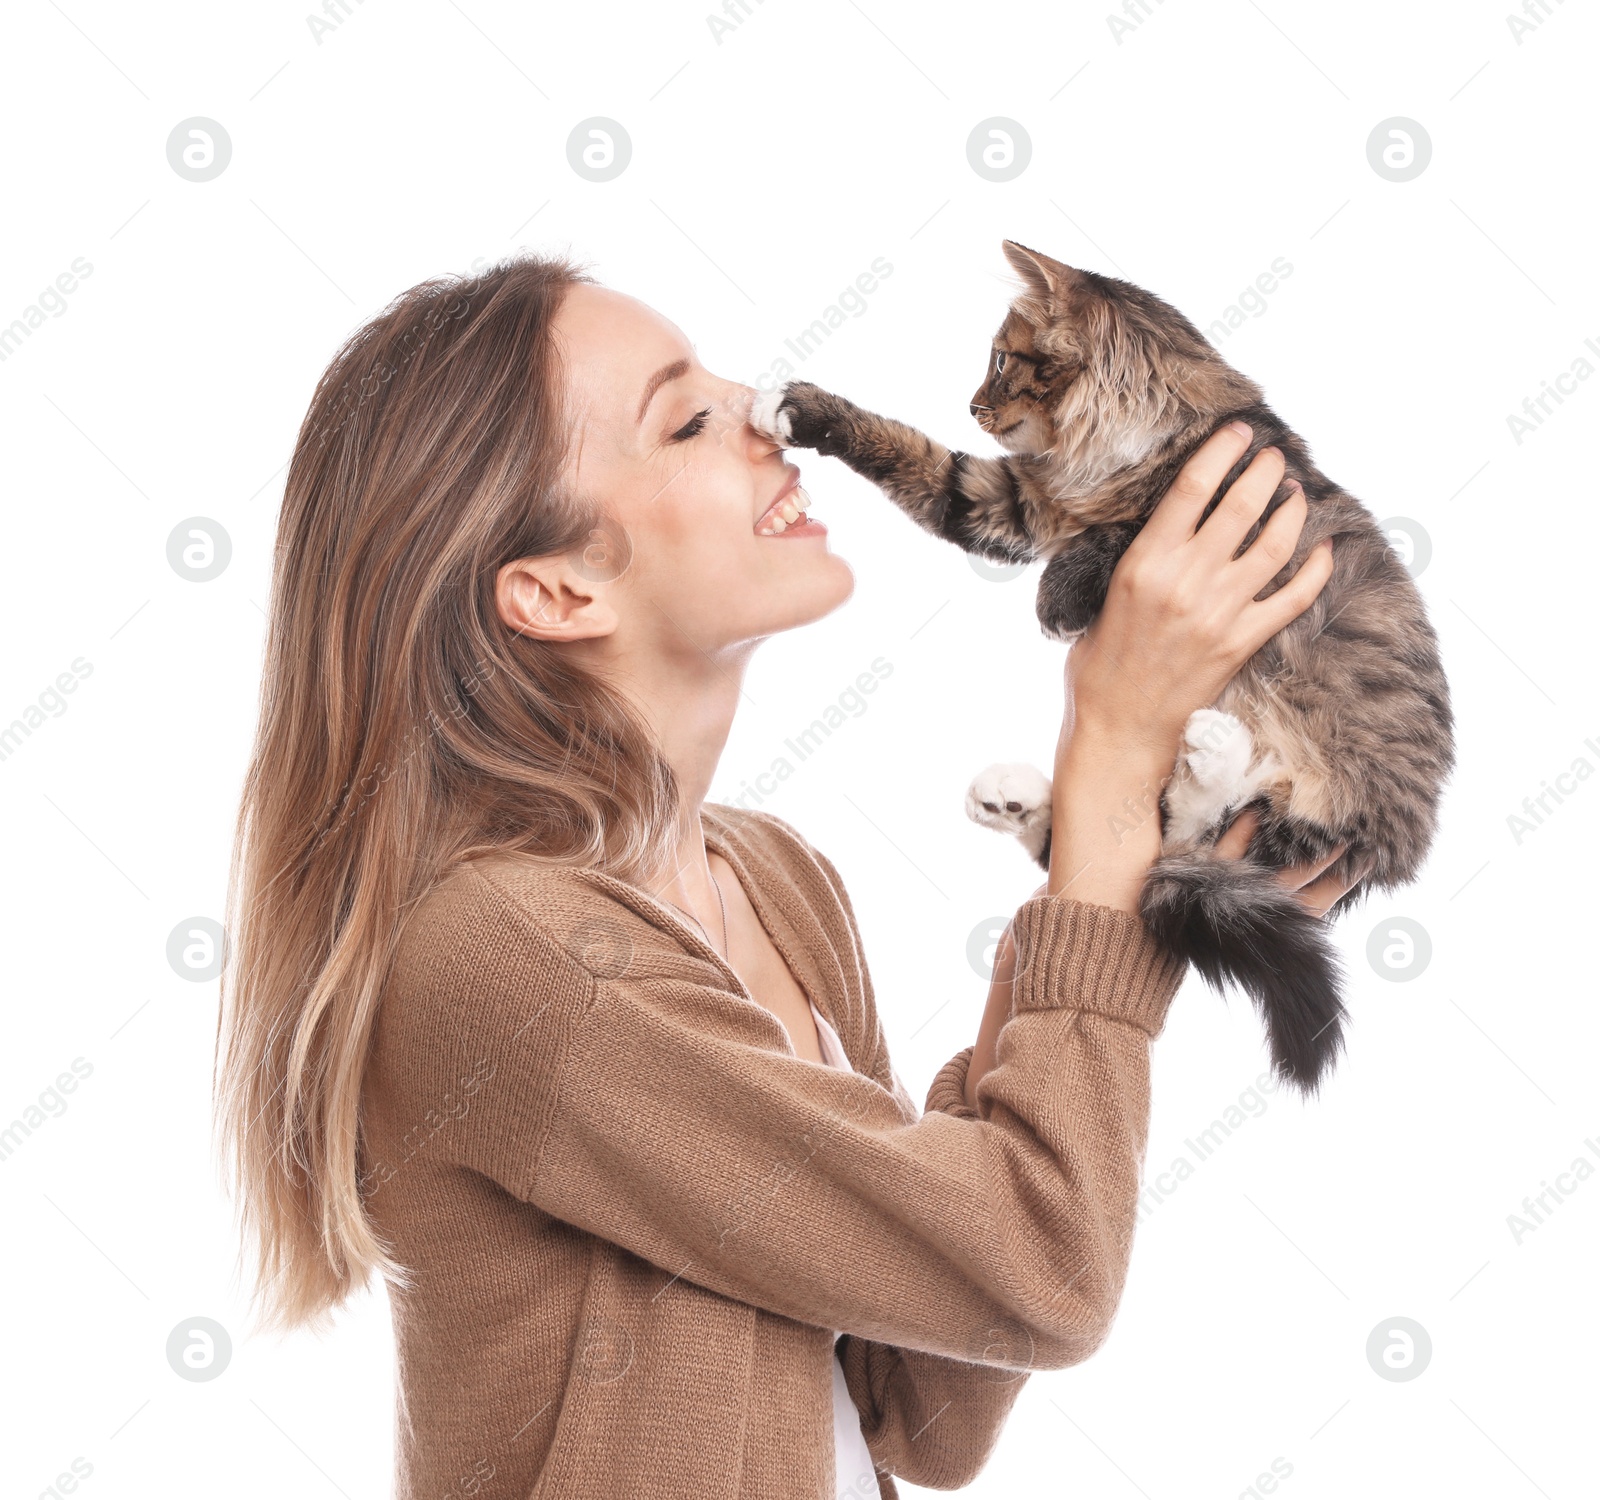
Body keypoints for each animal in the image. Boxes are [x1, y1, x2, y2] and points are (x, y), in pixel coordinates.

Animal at [748, 239, 1452, 1093]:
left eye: (999, 359)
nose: (972, 406)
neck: (1101, 457)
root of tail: (1396, 850)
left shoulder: (1239, 509)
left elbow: (1125, 534)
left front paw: (1060, 596)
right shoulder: (1007, 501)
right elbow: (910, 452)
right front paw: (798, 408)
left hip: (1317, 814)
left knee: (1191, 827)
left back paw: (1210, 752)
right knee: (1133, 837)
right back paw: (1013, 797)